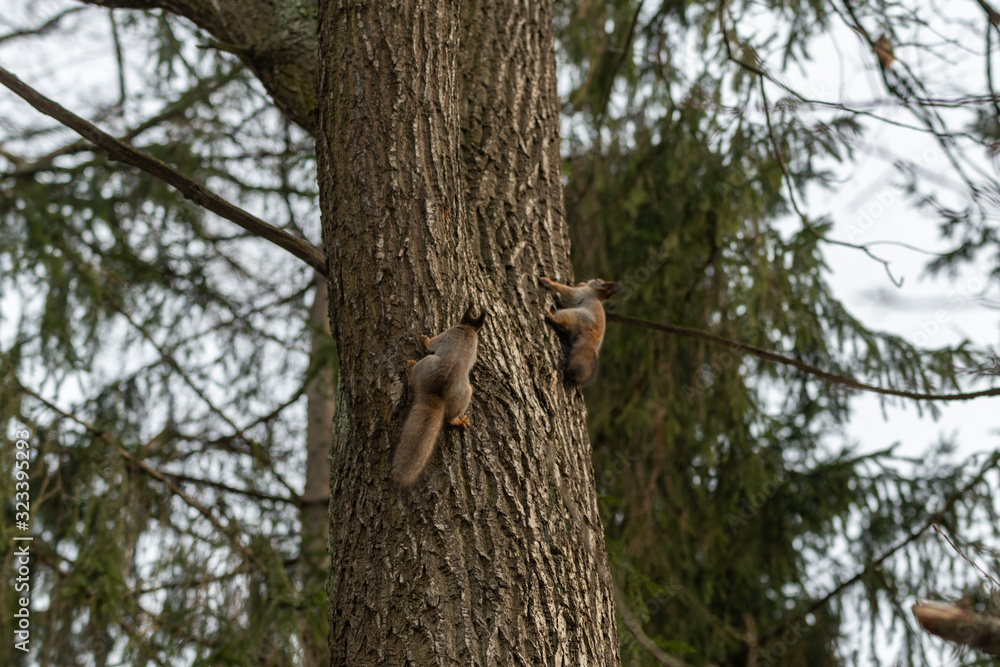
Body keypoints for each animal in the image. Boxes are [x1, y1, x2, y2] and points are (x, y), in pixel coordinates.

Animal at [391, 302, 486, 488]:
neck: (468, 329)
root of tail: (436, 392)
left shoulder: (446, 334)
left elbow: (431, 343)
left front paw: (425, 339)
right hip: (463, 393)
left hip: (427, 362)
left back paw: (411, 367)